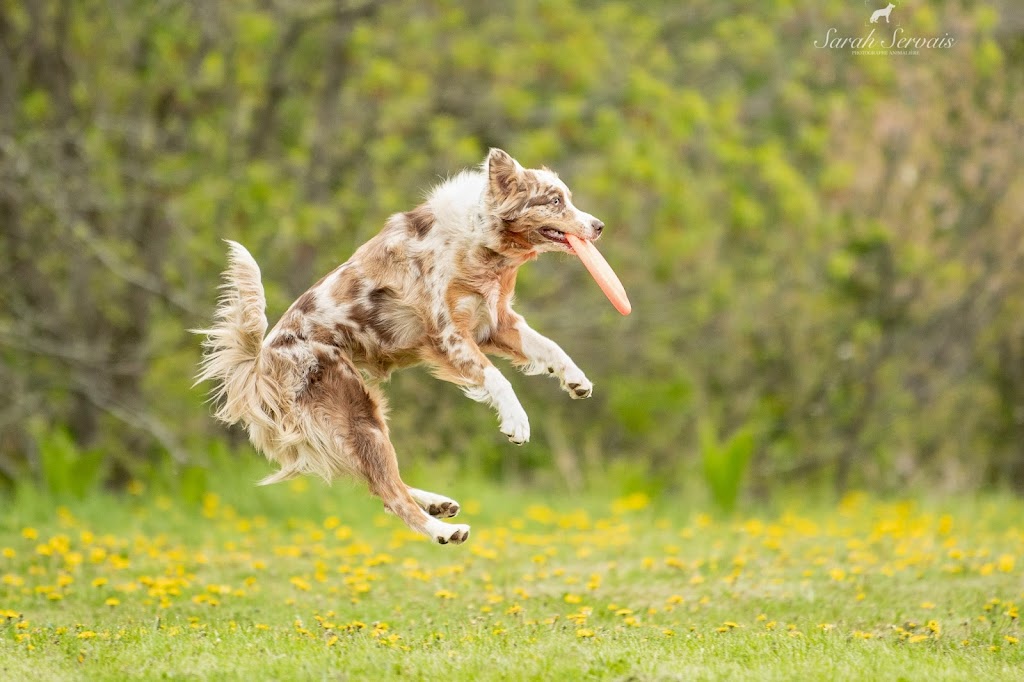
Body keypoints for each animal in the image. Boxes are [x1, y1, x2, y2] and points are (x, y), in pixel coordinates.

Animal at [195, 148, 602, 540]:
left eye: (567, 197)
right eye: (554, 200)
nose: (598, 226)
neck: (478, 241)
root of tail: (264, 360)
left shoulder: (494, 322)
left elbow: (549, 347)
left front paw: (575, 379)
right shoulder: (449, 334)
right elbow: (497, 378)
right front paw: (517, 422)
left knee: (384, 486)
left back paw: (438, 504)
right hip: (359, 417)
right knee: (391, 495)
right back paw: (445, 531)